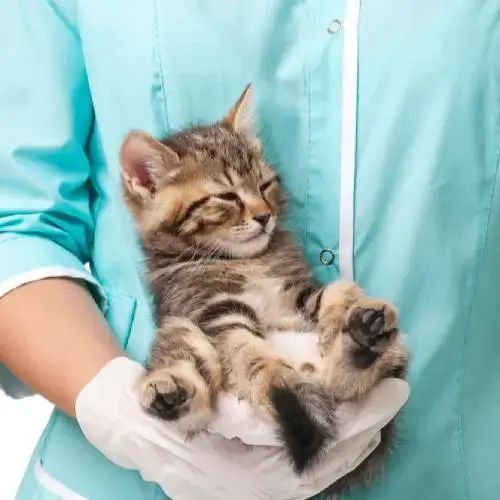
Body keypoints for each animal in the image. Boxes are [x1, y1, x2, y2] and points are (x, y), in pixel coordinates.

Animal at [119, 85, 408, 488]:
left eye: (265, 184)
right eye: (227, 197)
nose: (265, 216)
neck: (246, 260)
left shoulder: (295, 296)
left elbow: (339, 291)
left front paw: (340, 318)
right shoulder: (212, 309)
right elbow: (247, 349)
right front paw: (276, 378)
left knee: (356, 380)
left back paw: (362, 338)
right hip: (179, 327)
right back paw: (172, 395)